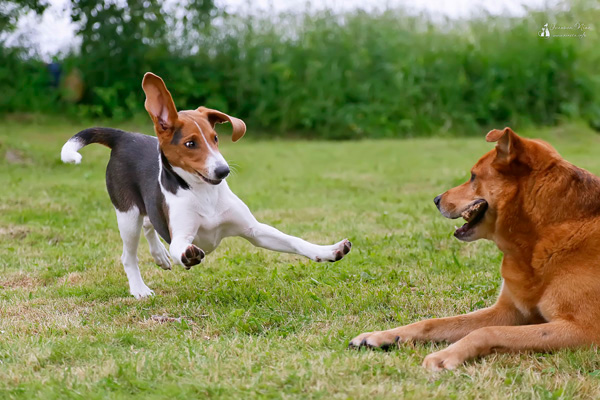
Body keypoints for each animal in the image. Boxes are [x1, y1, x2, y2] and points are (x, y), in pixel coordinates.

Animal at [59, 72, 352, 298]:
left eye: (215, 138)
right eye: (190, 143)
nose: (224, 171)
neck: (205, 193)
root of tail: (123, 136)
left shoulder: (255, 231)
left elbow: (295, 241)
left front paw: (328, 251)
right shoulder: (182, 235)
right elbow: (180, 247)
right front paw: (184, 257)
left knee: (149, 223)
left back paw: (159, 255)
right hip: (126, 214)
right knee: (129, 253)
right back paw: (140, 288)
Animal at [350, 128, 600, 372]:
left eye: (473, 176)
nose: (436, 199)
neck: (541, 234)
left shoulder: (585, 330)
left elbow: (486, 331)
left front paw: (447, 355)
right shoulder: (509, 311)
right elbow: (434, 322)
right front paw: (382, 335)